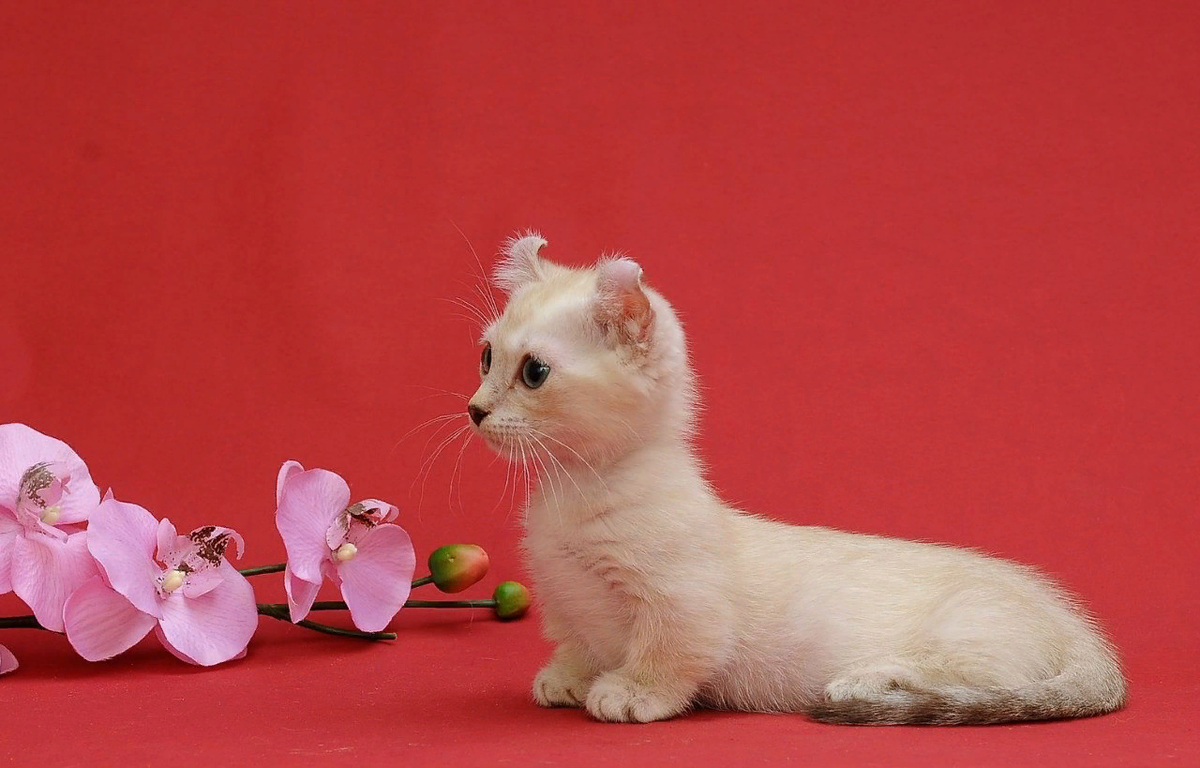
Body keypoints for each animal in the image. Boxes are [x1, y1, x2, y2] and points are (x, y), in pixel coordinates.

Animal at [463, 230, 1118, 724]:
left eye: (534, 372)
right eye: (487, 358)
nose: (475, 409)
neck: (571, 499)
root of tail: (1079, 626)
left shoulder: (686, 604)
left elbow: (673, 655)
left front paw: (632, 692)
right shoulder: (564, 600)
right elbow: (576, 641)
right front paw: (569, 677)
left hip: (969, 634)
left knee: (982, 681)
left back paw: (868, 681)